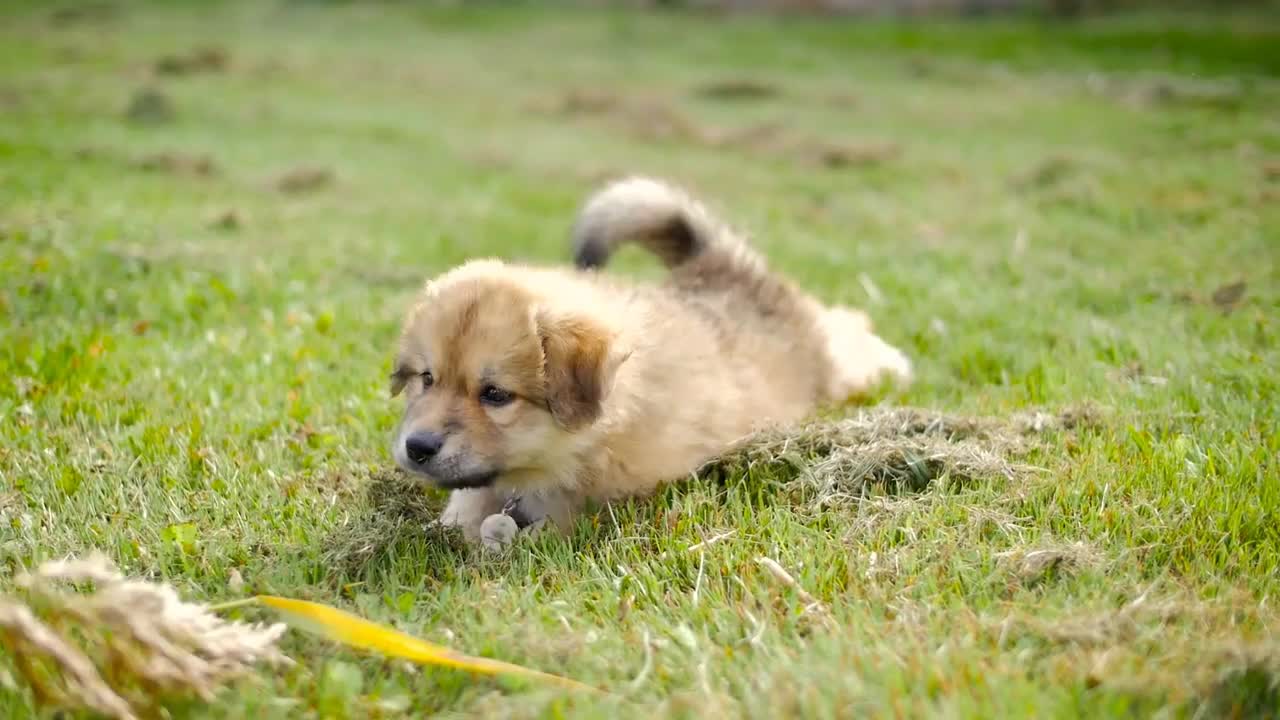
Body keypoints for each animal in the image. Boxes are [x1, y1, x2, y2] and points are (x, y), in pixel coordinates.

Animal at [389, 176, 911, 540]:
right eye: (427, 379)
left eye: (495, 395)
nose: (417, 448)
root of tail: (726, 263)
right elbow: (467, 504)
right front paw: (456, 526)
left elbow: (556, 519)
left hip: (833, 366)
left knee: (851, 329)